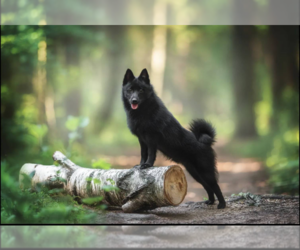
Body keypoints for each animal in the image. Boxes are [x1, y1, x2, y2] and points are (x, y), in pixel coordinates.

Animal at [121, 68, 225, 209]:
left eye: (141, 90)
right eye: (130, 90)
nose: (134, 100)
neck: (143, 111)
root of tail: (205, 142)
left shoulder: (151, 138)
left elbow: (151, 154)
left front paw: (148, 165)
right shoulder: (142, 139)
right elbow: (143, 153)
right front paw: (140, 165)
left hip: (205, 171)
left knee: (215, 185)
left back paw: (222, 204)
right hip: (195, 173)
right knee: (208, 186)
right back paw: (210, 201)